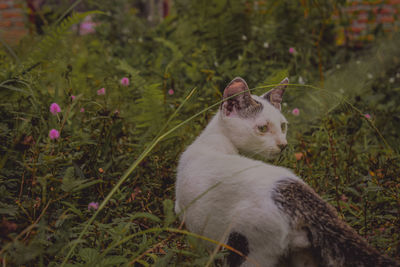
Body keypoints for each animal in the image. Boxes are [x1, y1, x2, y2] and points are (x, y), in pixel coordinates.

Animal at [173, 77, 398, 267]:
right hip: (303, 256)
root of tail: (299, 198)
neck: (215, 141)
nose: (283, 144)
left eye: (282, 126)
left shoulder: (186, 218)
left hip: (248, 247)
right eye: (263, 128)